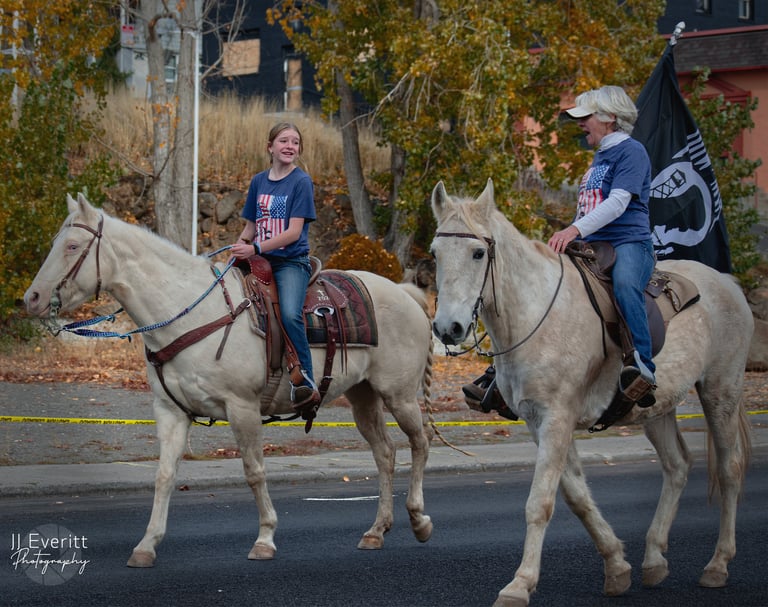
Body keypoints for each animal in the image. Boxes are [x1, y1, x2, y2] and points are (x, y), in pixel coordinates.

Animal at [24, 193, 435, 567]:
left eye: (72, 246)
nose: (32, 298)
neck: (190, 312)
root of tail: (406, 294)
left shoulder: (243, 408)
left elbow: (254, 471)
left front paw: (265, 539)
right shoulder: (170, 411)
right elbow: (164, 474)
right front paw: (146, 545)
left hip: (399, 395)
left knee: (420, 443)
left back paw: (419, 519)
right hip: (364, 396)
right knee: (385, 453)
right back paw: (376, 531)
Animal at [429, 179, 754, 607]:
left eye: (478, 252)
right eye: (435, 253)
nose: (447, 328)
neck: (535, 314)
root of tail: (726, 282)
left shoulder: (557, 418)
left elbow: (540, 502)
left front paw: (520, 584)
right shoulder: (540, 422)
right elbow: (576, 497)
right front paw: (616, 567)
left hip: (721, 391)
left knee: (730, 469)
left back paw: (717, 564)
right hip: (656, 407)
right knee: (678, 466)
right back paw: (654, 559)